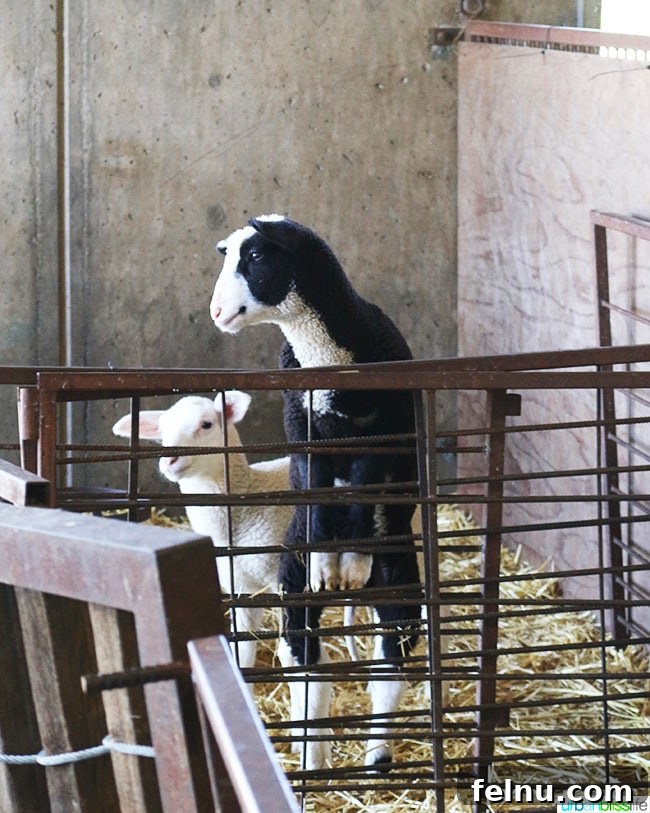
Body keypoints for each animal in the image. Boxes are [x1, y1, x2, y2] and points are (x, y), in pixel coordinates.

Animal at [111, 390, 293, 670]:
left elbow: (290, 653)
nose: (169, 460)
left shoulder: (287, 582)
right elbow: (242, 647)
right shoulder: (243, 587)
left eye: (206, 424)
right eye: (162, 431)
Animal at [209, 215, 426, 771]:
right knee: (310, 666)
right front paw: (330, 564)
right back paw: (315, 756)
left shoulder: (377, 438)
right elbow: (315, 488)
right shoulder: (302, 428)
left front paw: (349, 563)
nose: (216, 311)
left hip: (399, 575)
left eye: (256, 256)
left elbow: (365, 485)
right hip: (294, 582)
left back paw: (376, 755)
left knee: (390, 666)